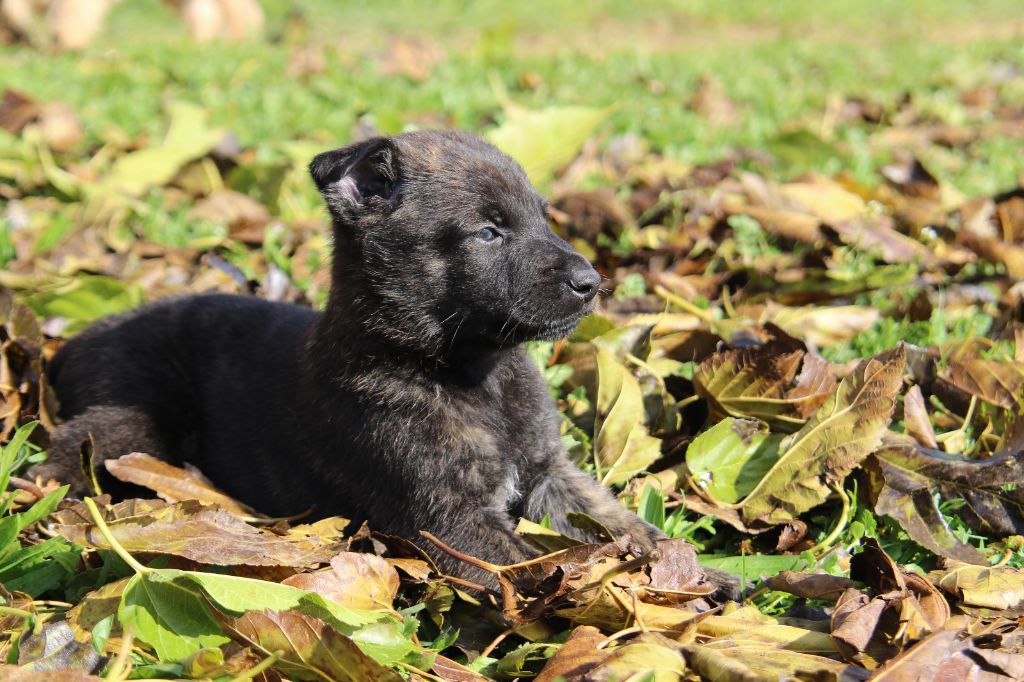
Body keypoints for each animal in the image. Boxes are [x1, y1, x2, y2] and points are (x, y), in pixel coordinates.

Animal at [37, 129, 737, 593]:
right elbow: (554, 566)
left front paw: (696, 573)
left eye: (545, 219)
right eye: (488, 232)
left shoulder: (551, 475)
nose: (592, 283)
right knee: (62, 458)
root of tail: (72, 341)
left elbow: (622, 526)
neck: (468, 373)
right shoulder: (447, 522)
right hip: (128, 426)